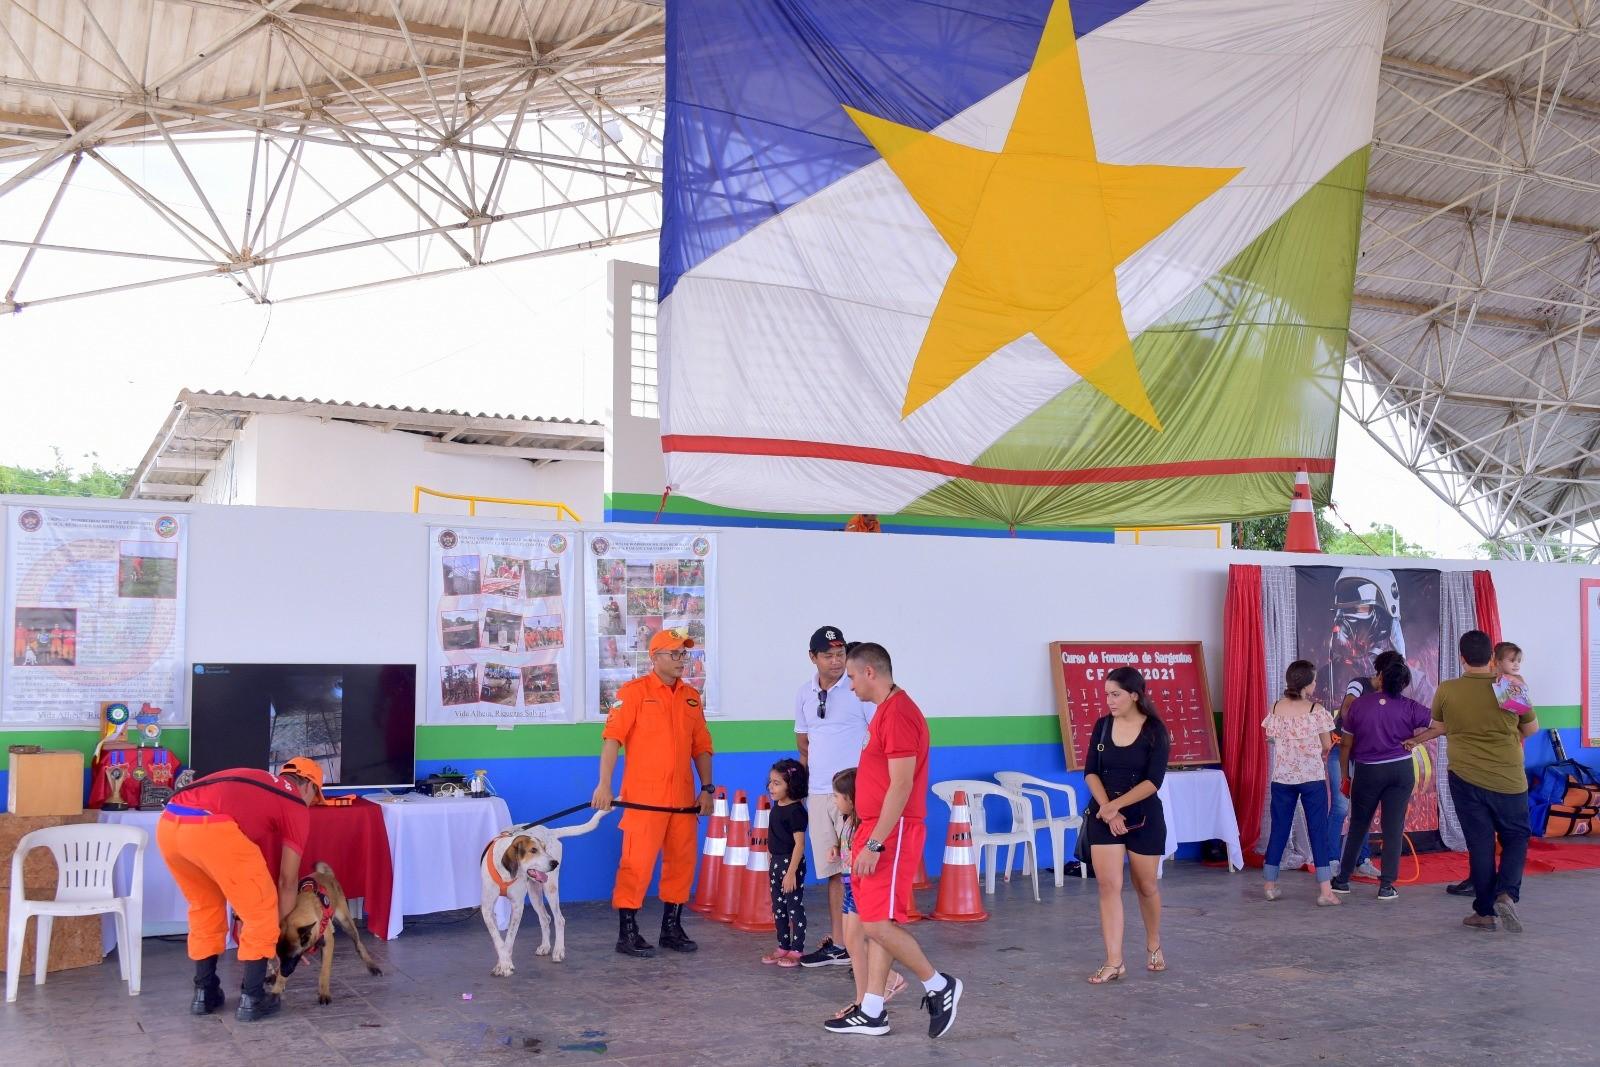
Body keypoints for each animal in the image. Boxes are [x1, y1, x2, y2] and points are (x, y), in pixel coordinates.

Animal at [270, 863, 382, 1004]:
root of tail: (326, 875)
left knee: (358, 944)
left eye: (292, 956)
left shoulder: (328, 943)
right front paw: (277, 987)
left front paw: (323, 992)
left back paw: (372, 965)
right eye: (280, 956)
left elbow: (324, 970)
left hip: (346, 922)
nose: (284, 973)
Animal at [476, 809, 608, 979]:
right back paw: (545, 946)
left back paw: (558, 950)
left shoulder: (517, 907)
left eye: (544, 848)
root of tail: (551, 832)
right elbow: (498, 940)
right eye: (533, 850)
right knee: (545, 918)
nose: (554, 863)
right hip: (534, 892)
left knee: (559, 919)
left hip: (550, 888)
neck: (505, 872)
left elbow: (509, 939)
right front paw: (503, 963)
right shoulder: (487, 909)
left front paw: (505, 965)